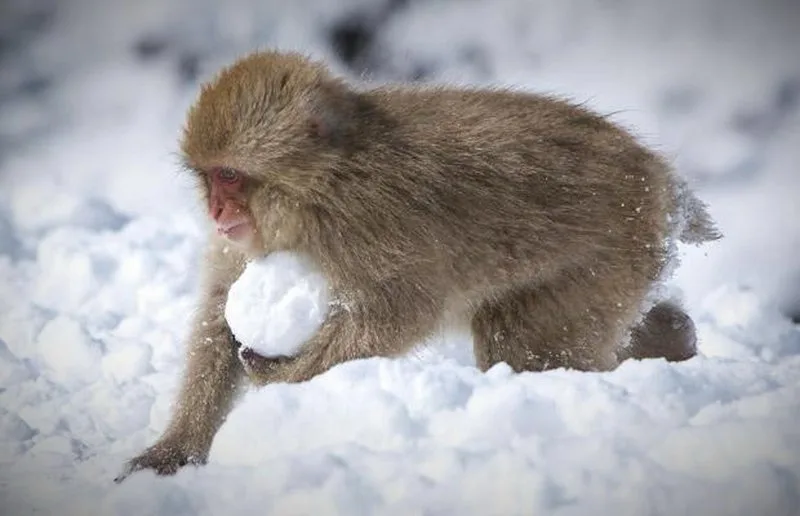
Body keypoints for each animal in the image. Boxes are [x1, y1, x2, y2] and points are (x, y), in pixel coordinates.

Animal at [115, 50, 720, 482]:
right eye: (210, 178)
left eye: (231, 176)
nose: (217, 211)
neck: (326, 181)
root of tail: (660, 181)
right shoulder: (246, 242)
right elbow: (220, 313)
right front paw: (175, 449)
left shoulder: (367, 218)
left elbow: (401, 312)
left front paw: (281, 373)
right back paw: (674, 336)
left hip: (608, 249)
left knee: (528, 350)